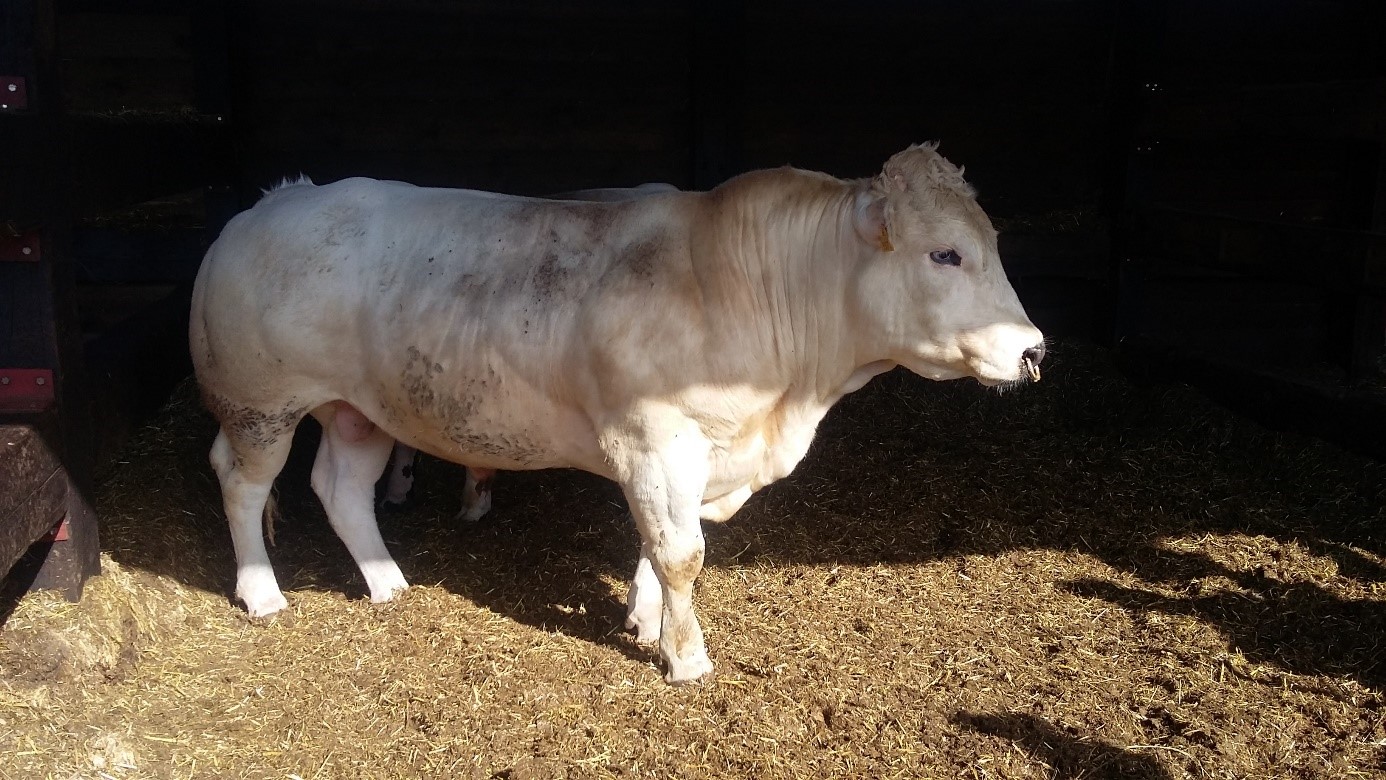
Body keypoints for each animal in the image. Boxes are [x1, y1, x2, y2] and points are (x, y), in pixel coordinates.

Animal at [189, 142, 1042, 684]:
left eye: (991, 243)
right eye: (944, 254)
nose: (1034, 350)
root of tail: (280, 198)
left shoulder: (689, 457)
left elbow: (662, 545)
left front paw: (645, 619)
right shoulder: (654, 441)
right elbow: (681, 553)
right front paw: (687, 658)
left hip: (359, 408)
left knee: (342, 487)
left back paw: (386, 580)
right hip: (258, 403)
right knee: (241, 482)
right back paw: (263, 592)